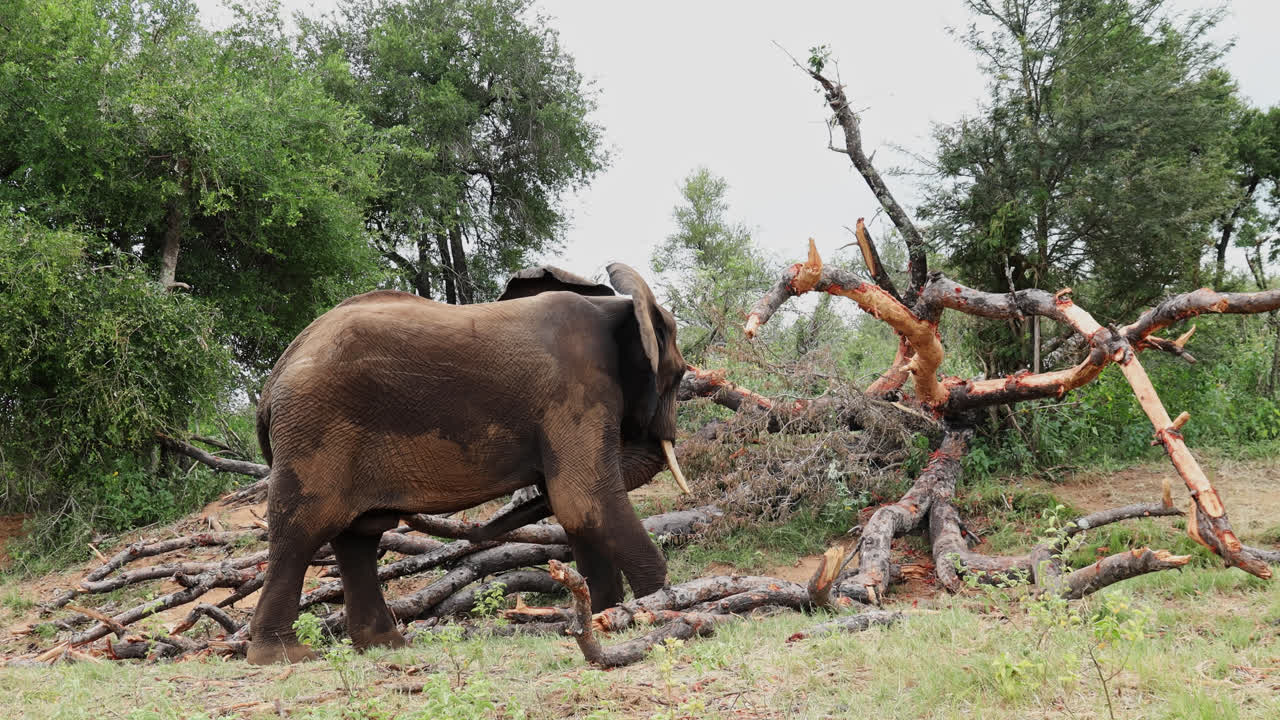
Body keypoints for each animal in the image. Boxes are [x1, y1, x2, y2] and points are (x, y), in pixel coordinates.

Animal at [246, 263, 691, 664]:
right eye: (678, 374)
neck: (618, 307)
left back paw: (386, 646)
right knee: (302, 529)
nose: (476, 532)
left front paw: (602, 614)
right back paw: (283, 656)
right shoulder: (575, 388)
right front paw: (654, 605)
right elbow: (584, 498)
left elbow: (576, 509)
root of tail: (272, 381)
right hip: (314, 428)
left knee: (359, 536)